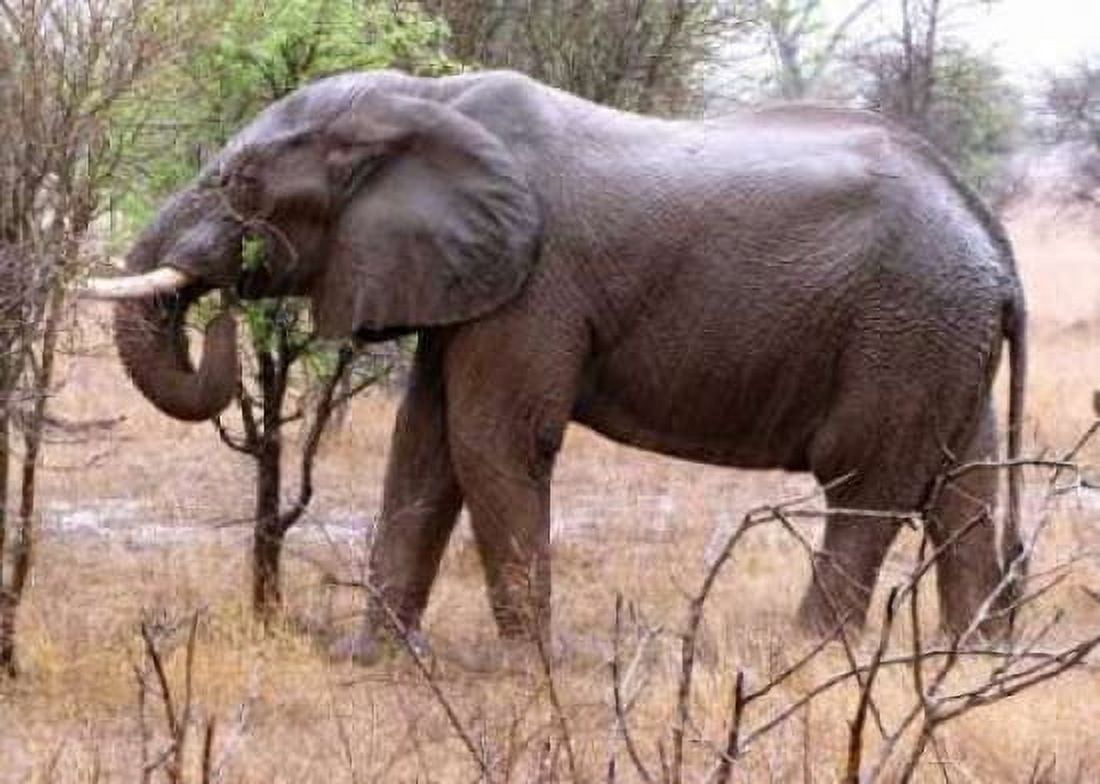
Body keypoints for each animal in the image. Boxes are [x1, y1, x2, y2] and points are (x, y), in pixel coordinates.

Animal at [86, 69, 1028, 662]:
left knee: (866, 484)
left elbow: (491, 438)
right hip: (944, 336)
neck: (426, 99)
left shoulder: (536, 281)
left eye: (240, 184)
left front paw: (528, 668)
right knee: (964, 487)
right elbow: (422, 448)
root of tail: (991, 236)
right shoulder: (469, 276)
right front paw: (373, 658)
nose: (222, 312)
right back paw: (973, 654)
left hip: (906, 325)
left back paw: (804, 653)